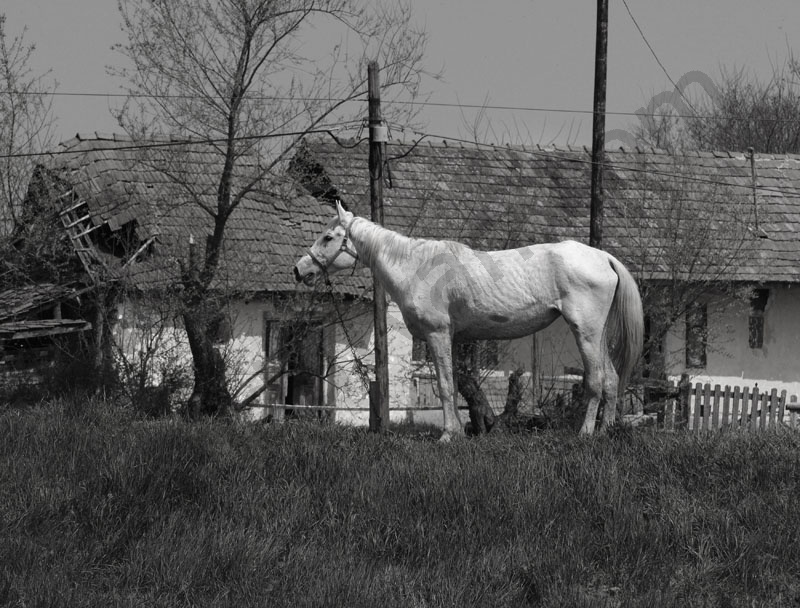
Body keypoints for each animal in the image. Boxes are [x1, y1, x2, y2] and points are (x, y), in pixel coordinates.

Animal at [294, 202, 644, 440]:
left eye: (328, 237)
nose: (299, 271)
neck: (416, 266)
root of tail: (603, 257)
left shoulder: (437, 334)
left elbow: (446, 386)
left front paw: (449, 435)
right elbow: (448, 383)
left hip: (585, 332)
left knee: (596, 381)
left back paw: (584, 433)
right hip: (597, 335)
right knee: (611, 380)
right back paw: (605, 432)